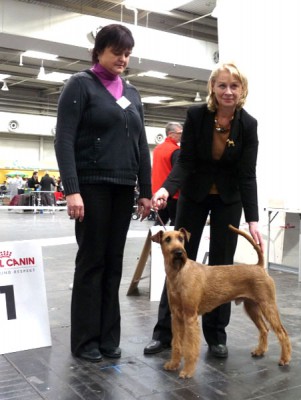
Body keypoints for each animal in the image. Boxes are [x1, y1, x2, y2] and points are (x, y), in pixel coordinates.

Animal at [151, 225, 290, 378]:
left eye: (181, 239)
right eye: (167, 239)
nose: (179, 252)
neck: (178, 273)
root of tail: (259, 266)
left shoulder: (190, 316)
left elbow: (190, 348)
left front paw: (187, 371)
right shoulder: (176, 317)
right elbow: (176, 344)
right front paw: (173, 364)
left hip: (268, 305)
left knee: (282, 333)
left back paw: (284, 359)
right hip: (252, 307)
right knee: (264, 329)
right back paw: (260, 351)